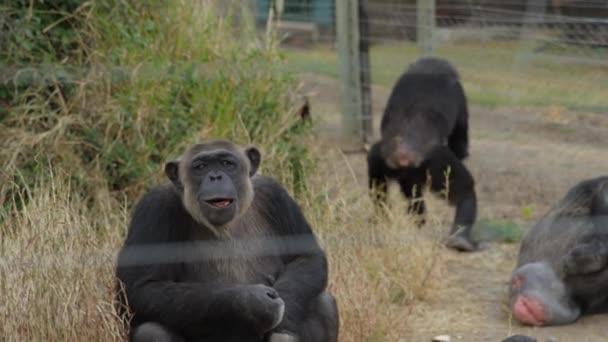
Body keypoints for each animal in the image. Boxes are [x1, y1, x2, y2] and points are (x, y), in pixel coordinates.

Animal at [114, 140, 340, 342]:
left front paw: (283, 327)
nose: (215, 176)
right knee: (151, 331)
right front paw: (255, 302)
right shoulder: (153, 210)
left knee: (324, 304)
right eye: (201, 167)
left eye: (226, 163)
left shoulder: (276, 196)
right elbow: (140, 289)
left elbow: (307, 257)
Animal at [368, 56, 478, 251]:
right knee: (463, 186)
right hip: (435, 163)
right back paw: (459, 237)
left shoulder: (379, 157)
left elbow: (378, 183)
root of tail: (404, 154)